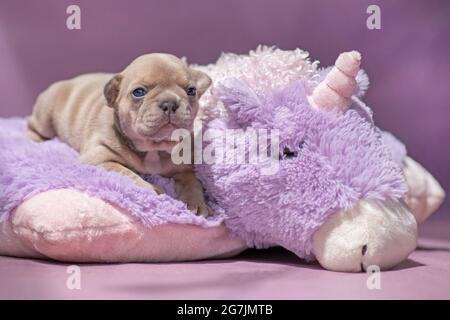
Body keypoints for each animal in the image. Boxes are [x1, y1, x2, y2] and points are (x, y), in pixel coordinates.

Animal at [28, 53, 214, 218]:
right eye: (138, 92)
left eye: (191, 91)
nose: (169, 102)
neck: (154, 148)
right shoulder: (100, 158)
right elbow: (127, 173)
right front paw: (151, 188)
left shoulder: (185, 167)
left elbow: (193, 183)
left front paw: (197, 203)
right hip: (45, 118)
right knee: (31, 123)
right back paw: (35, 139)